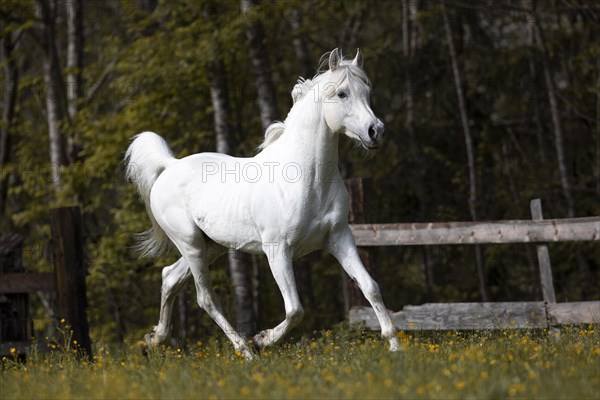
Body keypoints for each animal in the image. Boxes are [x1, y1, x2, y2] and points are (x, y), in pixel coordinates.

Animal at [125, 48, 398, 358]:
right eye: (341, 93)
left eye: (368, 91)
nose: (376, 131)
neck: (308, 178)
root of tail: (169, 166)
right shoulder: (277, 251)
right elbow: (295, 310)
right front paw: (263, 338)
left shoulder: (339, 238)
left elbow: (371, 287)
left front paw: (394, 345)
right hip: (190, 244)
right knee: (206, 298)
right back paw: (246, 350)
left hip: (211, 246)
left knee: (170, 277)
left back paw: (155, 338)